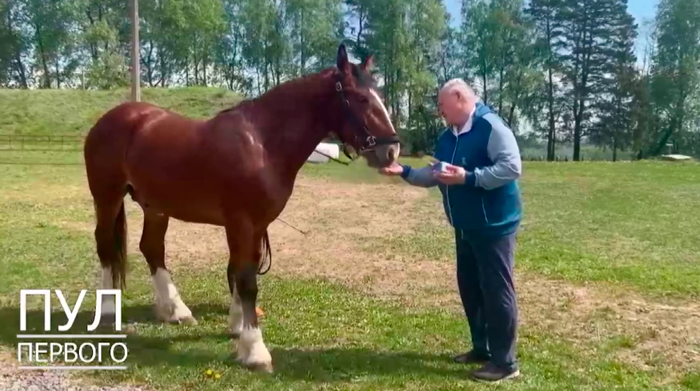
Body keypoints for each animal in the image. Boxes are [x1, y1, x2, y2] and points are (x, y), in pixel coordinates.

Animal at [82, 44, 400, 372]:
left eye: (380, 96)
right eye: (361, 98)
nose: (391, 150)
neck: (262, 144)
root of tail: (113, 118)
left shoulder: (258, 225)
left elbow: (240, 269)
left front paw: (237, 326)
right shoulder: (241, 223)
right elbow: (247, 281)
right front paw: (255, 350)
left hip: (155, 206)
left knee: (152, 248)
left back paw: (175, 310)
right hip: (107, 197)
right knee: (105, 245)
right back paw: (108, 310)